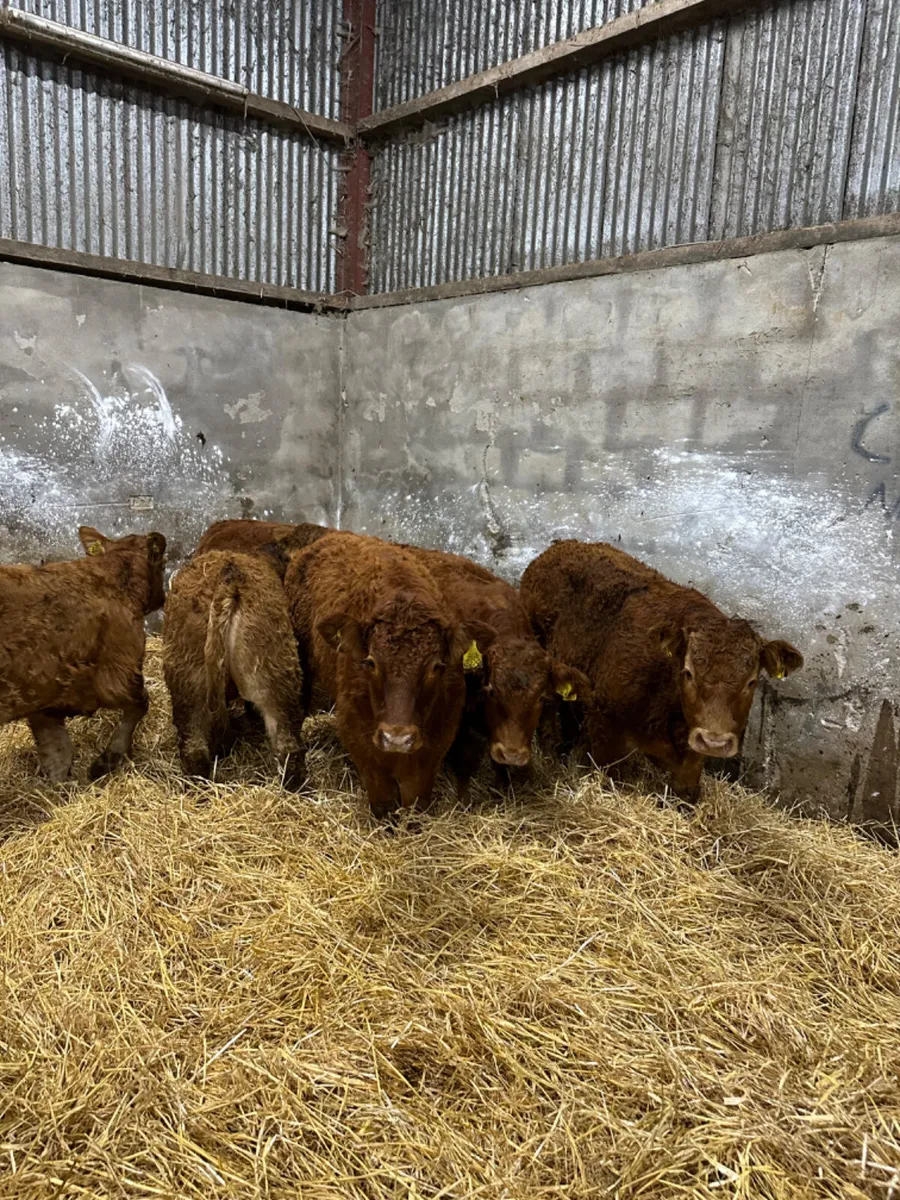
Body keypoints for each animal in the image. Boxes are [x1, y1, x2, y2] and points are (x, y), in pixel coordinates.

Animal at [0, 526, 166, 782]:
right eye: (164, 565)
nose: (164, 598)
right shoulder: (119, 672)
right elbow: (139, 706)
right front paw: (108, 760)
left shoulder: (44, 695)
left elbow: (57, 753)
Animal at [284, 531, 491, 818]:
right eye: (371, 663)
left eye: (436, 667)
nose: (397, 738)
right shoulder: (361, 743)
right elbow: (383, 804)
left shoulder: (433, 749)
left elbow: (415, 804)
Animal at [520, 539, 803, 805]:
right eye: (688, 673)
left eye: (751, 681)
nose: (714, 742)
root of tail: (561, 545)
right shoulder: (605, 730)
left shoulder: (691, 754)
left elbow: (686, 793)